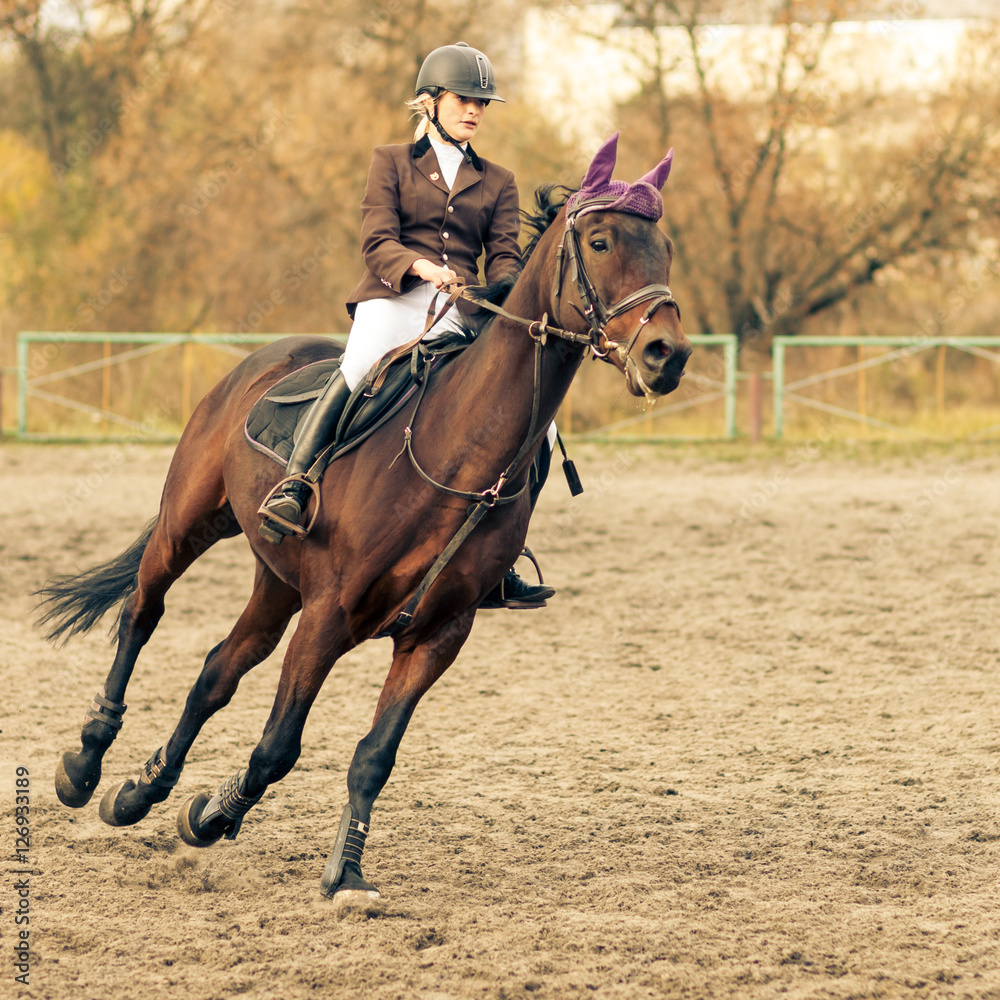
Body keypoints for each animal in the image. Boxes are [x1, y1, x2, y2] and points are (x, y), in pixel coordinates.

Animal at [41, 129, 696, 904]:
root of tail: (261, 360)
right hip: (188, 527)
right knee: (143, 613)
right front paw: (214, 814)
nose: (667, 355)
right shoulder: (329, 614)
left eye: (664, 249)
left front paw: (338, 869)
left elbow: (373, 756)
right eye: (598, 241)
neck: (454, 448)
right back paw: (86, 766)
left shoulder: (437, 633)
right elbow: (277, 748)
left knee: (217, 670)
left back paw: (141, 791)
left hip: (278, 582)